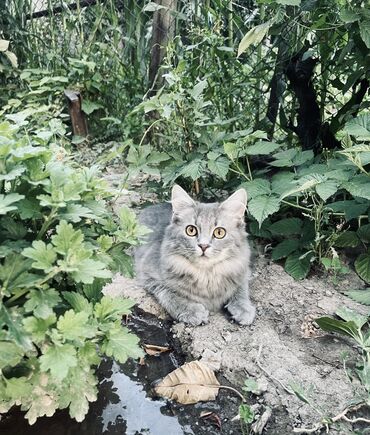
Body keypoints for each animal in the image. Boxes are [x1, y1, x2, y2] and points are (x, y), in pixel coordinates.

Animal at [134, 185, 256, 328]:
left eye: (219, 232)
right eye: (191, 230)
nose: (203, 246)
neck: (206, 275)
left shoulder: (242, 269)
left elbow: (241, 290)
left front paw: (243, 308)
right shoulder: (147, 274)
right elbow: (169, 293)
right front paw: (191, 311)